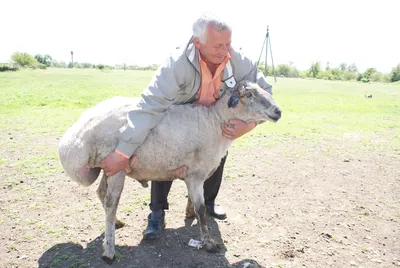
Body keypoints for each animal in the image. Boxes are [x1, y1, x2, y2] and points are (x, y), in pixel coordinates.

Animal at [57, 80, 282, 264]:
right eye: (250, 94)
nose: (278, 111)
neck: (214, 122)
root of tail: (75, 136)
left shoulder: (193, 175)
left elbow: (194, 204)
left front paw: (190, 213)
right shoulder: (196, 175)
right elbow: (202, 210)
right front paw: (208, 243)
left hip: (108, 169)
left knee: (101, 194)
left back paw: (115, 226)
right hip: (116, 168)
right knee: (111, 203)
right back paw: (109, 250)